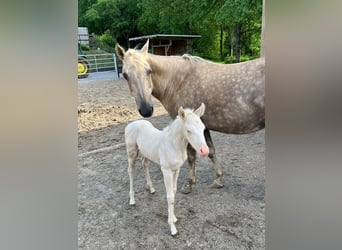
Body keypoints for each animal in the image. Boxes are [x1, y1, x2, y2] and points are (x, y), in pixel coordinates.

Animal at [115, 40, 264, 194]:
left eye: (148, 70)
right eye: (125, 75)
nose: (146, 110)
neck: (178, 81)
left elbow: (192, 156)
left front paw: (189, 184)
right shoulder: (203, 127)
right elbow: (210, 151)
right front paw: (218, 179)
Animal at [124, 102, 207, 235]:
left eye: (203, 128)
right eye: (188, 130)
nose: (205, 151)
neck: (173, 145)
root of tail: (131, 124)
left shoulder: (176, 169)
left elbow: (174, 191)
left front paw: (174, 218)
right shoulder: (166, 170)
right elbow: (170, 196)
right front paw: (172, 227)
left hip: (146, 152)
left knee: (145, 164)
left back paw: (151, 188)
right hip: (131, 152)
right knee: (131, 171)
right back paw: (132, 200)